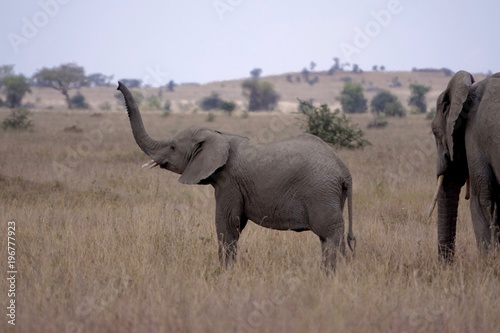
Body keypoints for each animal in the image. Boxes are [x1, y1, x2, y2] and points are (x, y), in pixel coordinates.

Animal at [117, 81, 356, 272]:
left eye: (173, 147)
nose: (118, 85)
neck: (218, 134)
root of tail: (345, 172)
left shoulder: (229, 182)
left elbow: (228, 224)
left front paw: (224, 274)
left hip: (321, 192)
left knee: (330, 235)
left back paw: (331, 276)